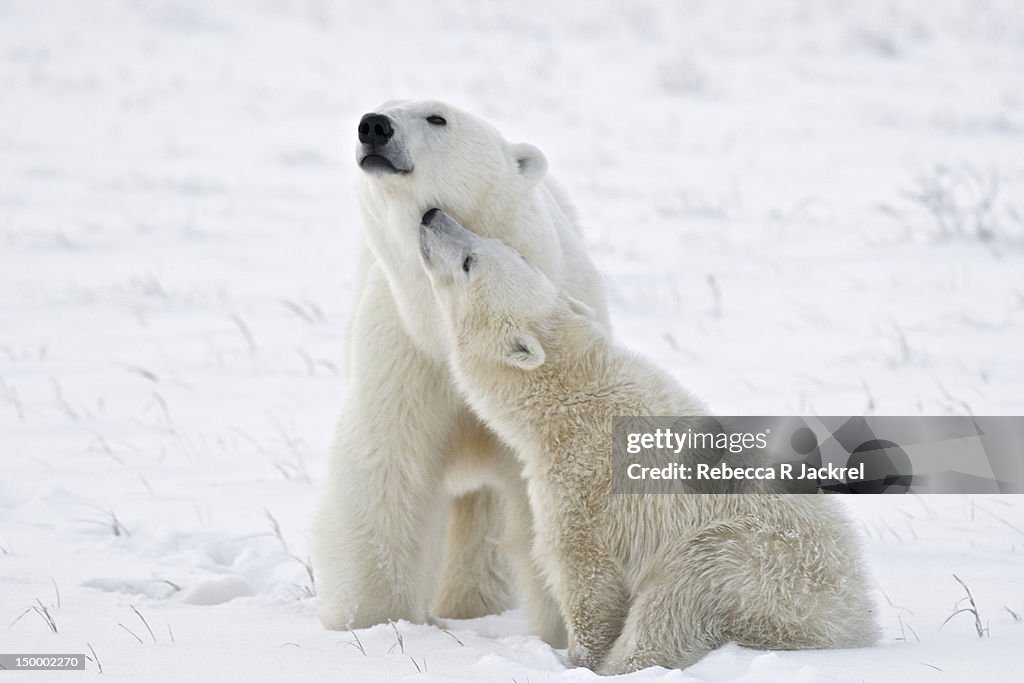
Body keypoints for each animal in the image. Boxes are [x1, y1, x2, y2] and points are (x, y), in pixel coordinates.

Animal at [307, 101, 602, 647]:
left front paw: (558, 631)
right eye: (382, 107)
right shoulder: (406, 352)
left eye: (437, 118)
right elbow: (386, 469)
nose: (373, 126)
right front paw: (370, 622)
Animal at [415, 210, 880, 675]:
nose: (432, 216)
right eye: (503, 249)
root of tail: (853, 618)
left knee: (679, 598)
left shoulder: (585, 485)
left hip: (763, 564)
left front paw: (580, 660)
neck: (575, 395)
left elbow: (586, 573)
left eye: (470, 263)